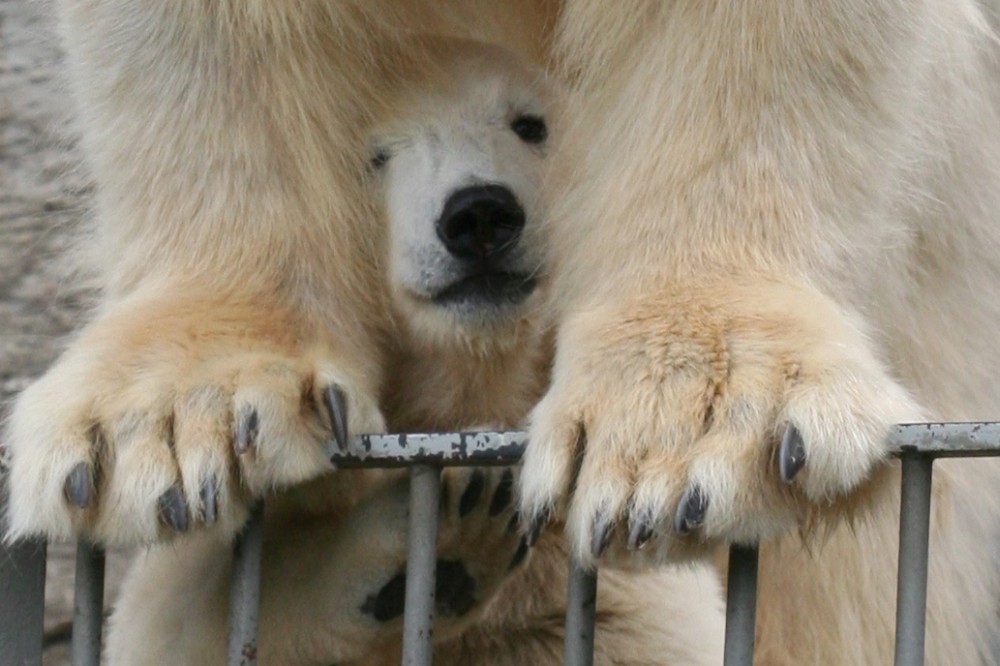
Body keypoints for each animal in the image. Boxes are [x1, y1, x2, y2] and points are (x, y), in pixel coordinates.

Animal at [101, 40, 724, 664]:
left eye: (530, 124)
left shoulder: (612, 599)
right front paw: (447, 533)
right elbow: (183, 622)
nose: (478, 214)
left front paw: (467, 521)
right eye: (375, 156)